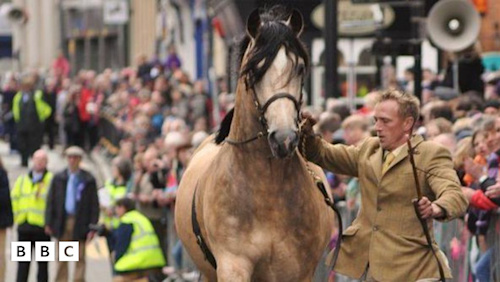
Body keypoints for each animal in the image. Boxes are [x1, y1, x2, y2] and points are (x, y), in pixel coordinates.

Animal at [175, 6, 336, 282]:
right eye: (253, 71)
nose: (284, 138)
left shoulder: (298, 271)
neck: (266, 190)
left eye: (300, 68)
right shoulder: (233, 264)